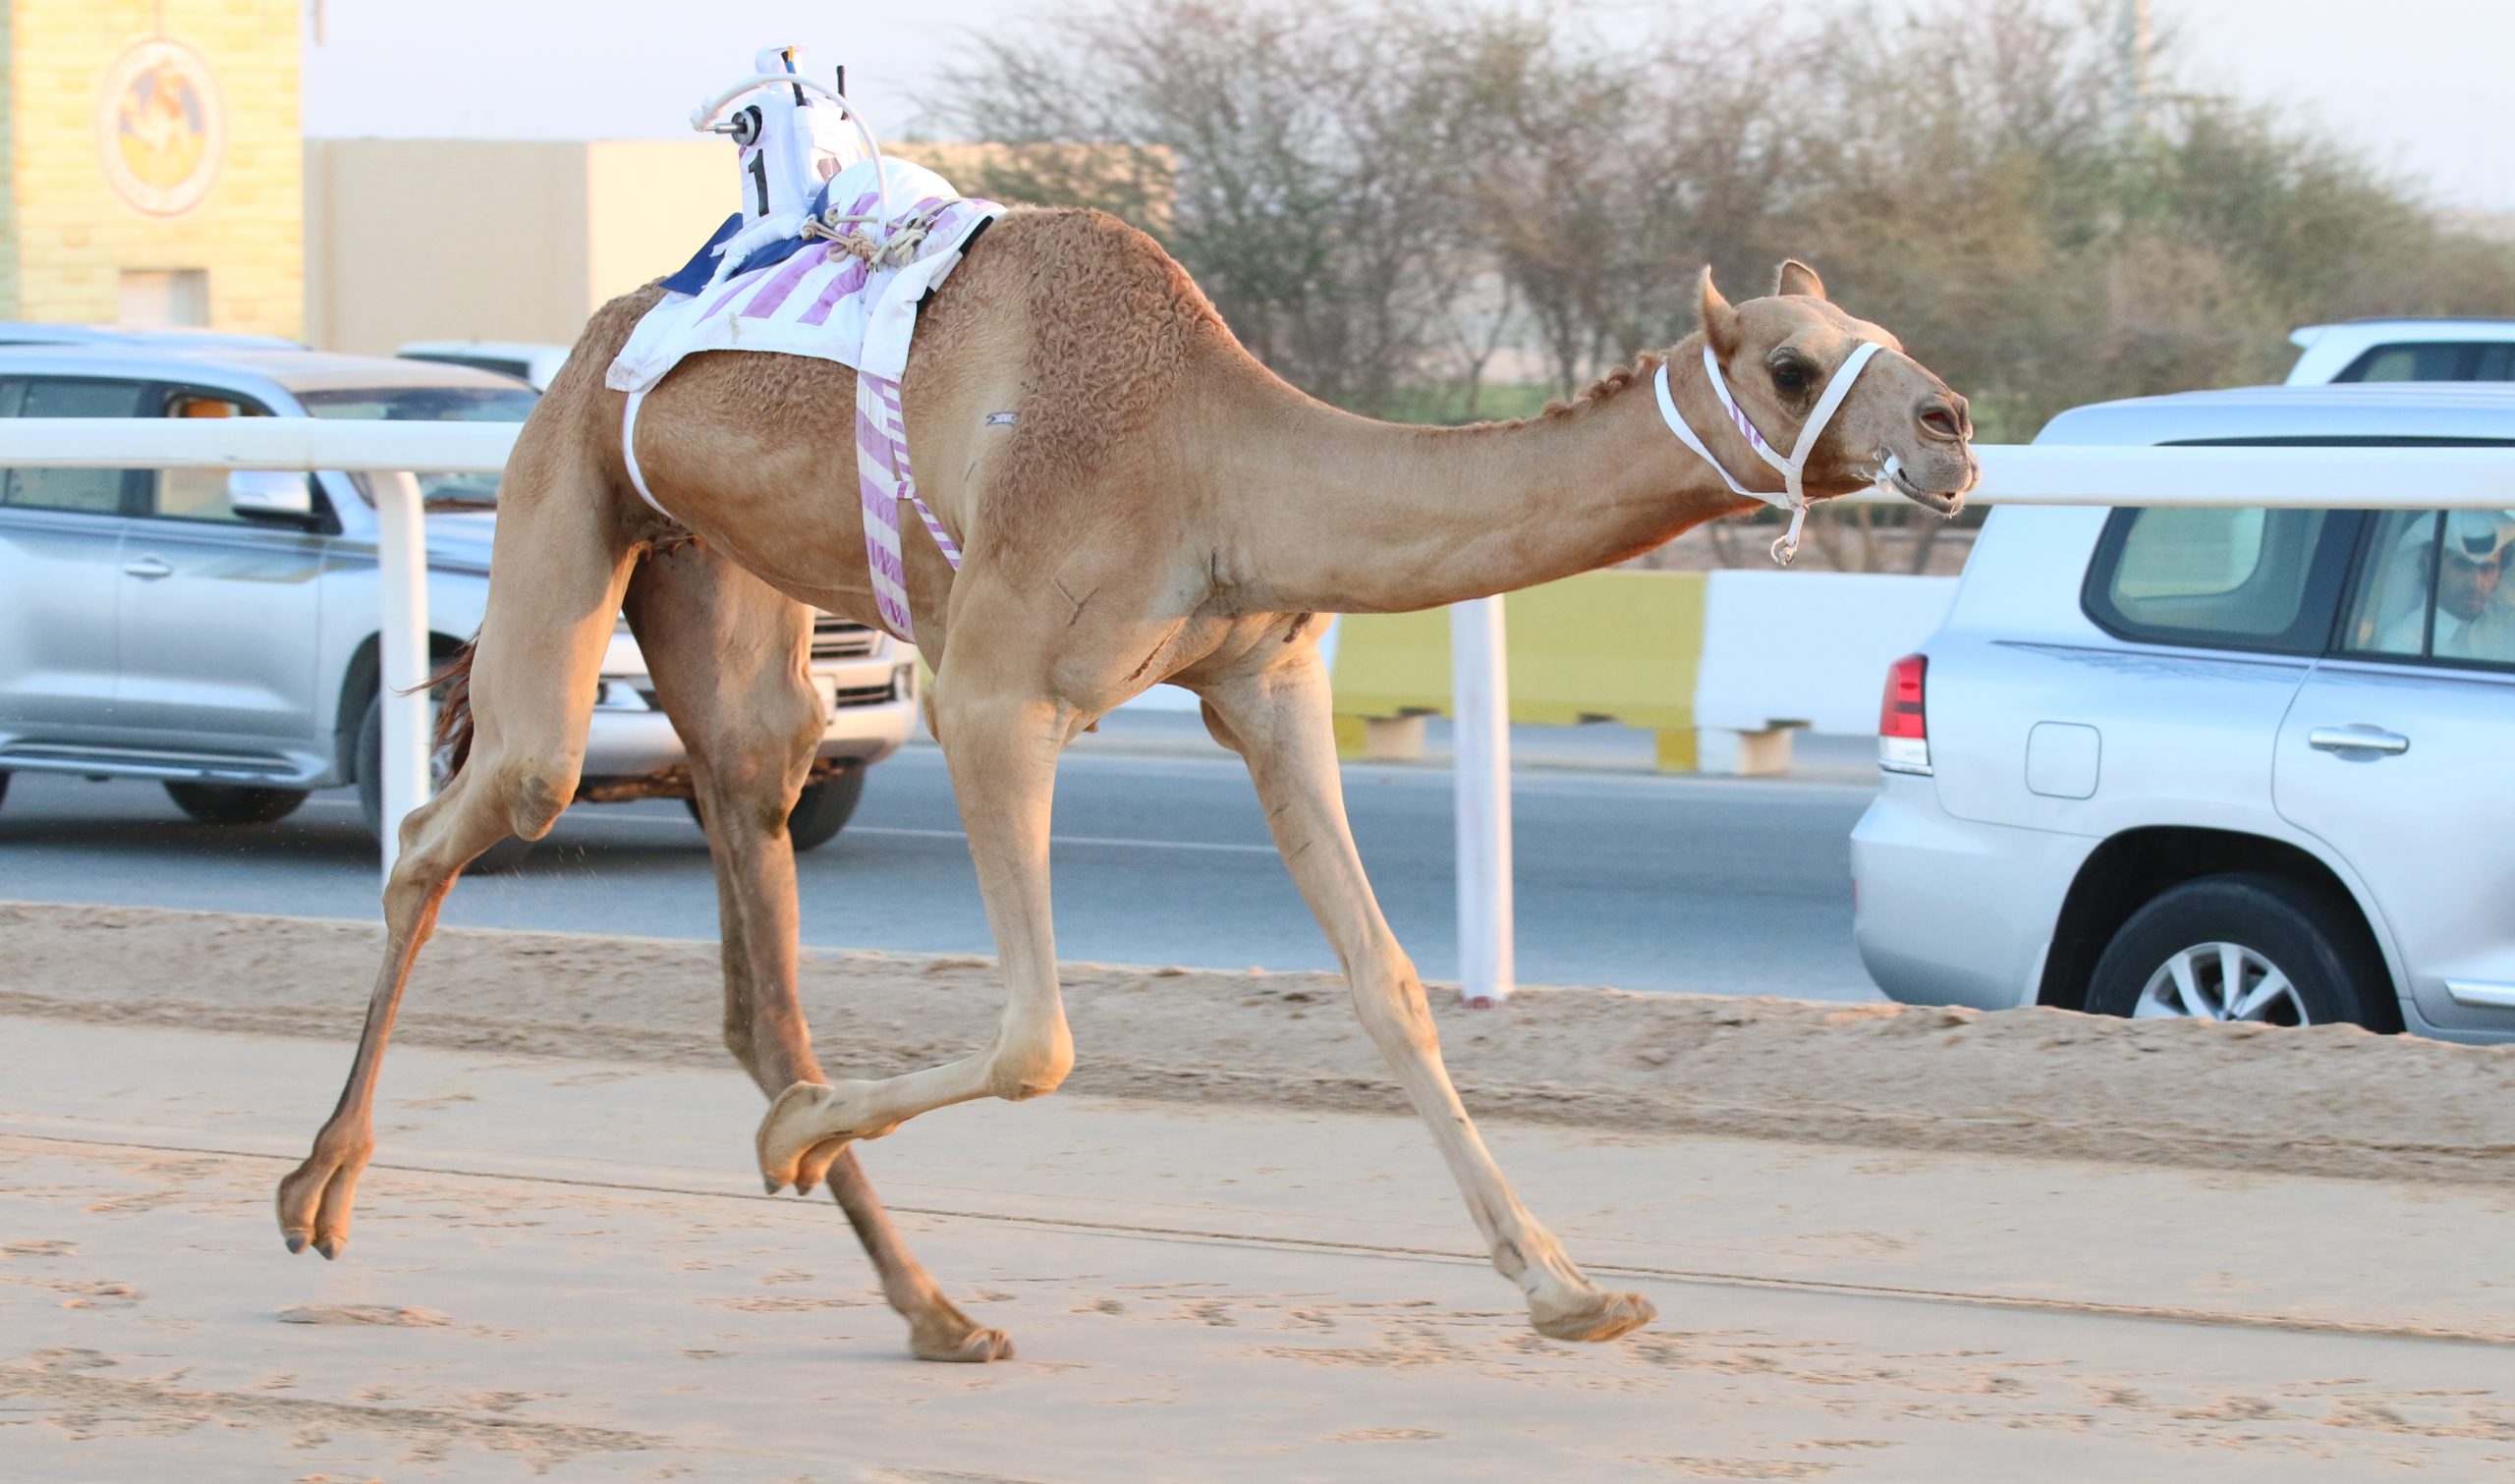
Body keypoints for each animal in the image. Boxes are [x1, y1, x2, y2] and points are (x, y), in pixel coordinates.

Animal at [270, 212, 1961, 1368]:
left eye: (1877, 329)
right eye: (1797, 363)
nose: (1948, 427)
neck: (1219, 459)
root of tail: (603, 323)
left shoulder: (1268, 685)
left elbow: (1392, 984)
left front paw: (1572, 1287)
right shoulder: (996, 692)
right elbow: (1040, 1037)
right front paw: (794, 1138)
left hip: (719, 592)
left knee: (755, 905)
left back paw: (934, 1303)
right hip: (569, 492)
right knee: (464, 810)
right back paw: (317, 1189)